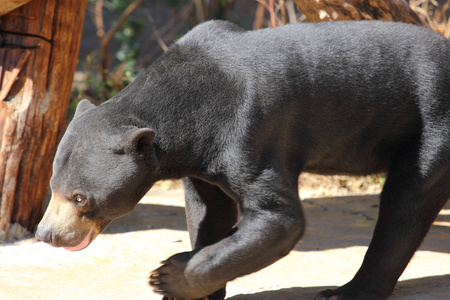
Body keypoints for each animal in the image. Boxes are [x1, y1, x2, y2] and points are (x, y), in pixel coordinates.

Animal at [36, 19, 450, 298]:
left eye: (81, 198)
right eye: (52, 188)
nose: (46, 235)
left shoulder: (252, 132)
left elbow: (278, 218)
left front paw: (168, 277)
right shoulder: (201, 158)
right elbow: (209, 210)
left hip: (431, 125)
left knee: (406, 201)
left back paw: (345, 292)